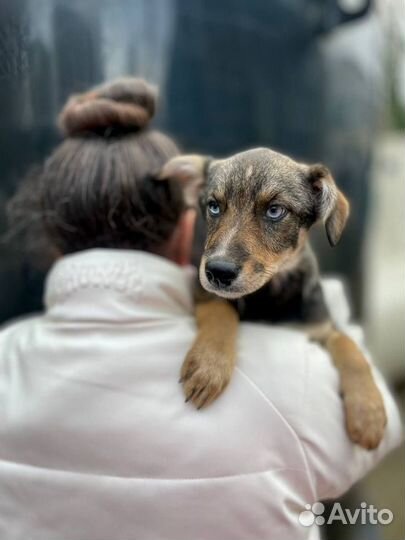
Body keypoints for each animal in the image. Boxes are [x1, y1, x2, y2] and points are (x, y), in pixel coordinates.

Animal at [158, 146, 386, 450]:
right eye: (214, 206)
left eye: (275, 211)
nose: (218, 271)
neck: (269, 293)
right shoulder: (202, 289)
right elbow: (221, 312)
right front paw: (208, 365)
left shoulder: (320, 326)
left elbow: (350, 347)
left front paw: (368, 412)